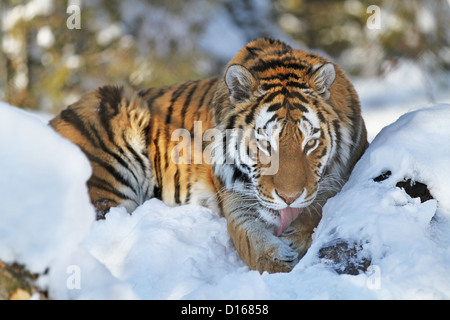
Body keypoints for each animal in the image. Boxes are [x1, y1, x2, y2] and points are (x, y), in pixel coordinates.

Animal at [50, 37, 366, 272]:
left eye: (310, 142)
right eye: (265, 143)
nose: (289, 198)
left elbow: (322, 203)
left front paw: (299, 236)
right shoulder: (234, 200)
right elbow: (253, 244)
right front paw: (280, 263)